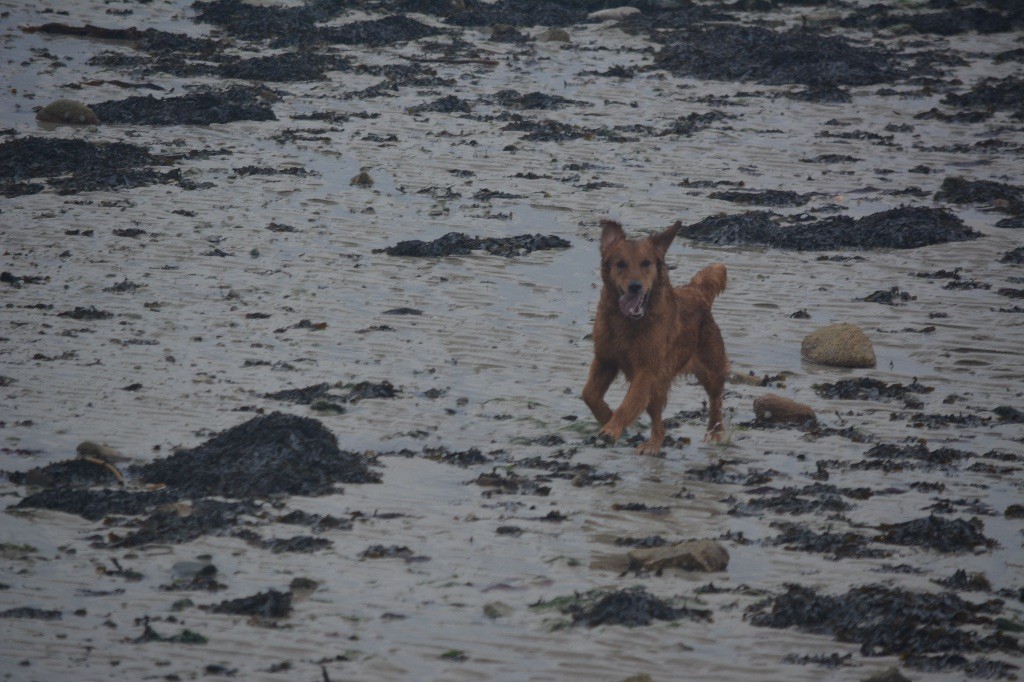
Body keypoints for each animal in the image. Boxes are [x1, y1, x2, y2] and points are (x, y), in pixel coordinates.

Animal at [585, 219, 729, 450]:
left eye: (646, 263)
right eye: (620, 264)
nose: (635, 286)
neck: (629, 323)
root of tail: (696, 292)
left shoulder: (647, 370)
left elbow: (628, 404)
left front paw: (612, 428)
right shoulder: (605, 359)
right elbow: (588, 394)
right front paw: (606, 416)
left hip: (709, 368)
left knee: (716, 400)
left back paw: (713, 432)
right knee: (658, 422)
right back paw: (653, 445)